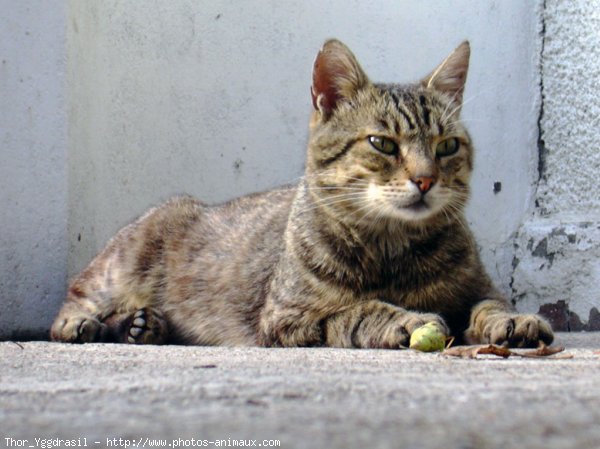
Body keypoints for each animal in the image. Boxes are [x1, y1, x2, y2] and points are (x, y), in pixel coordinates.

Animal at [51, 39, 552, 346]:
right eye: (382, 143)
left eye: (447, 146)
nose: (426, 179)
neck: (392, 248)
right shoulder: (287, 319)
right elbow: (357, 310)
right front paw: (405, 318)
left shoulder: (477, 288)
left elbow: (490, 303)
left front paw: (513, 319)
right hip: (124, 262)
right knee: (74, 297)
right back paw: (89, 323)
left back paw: (143, 325)